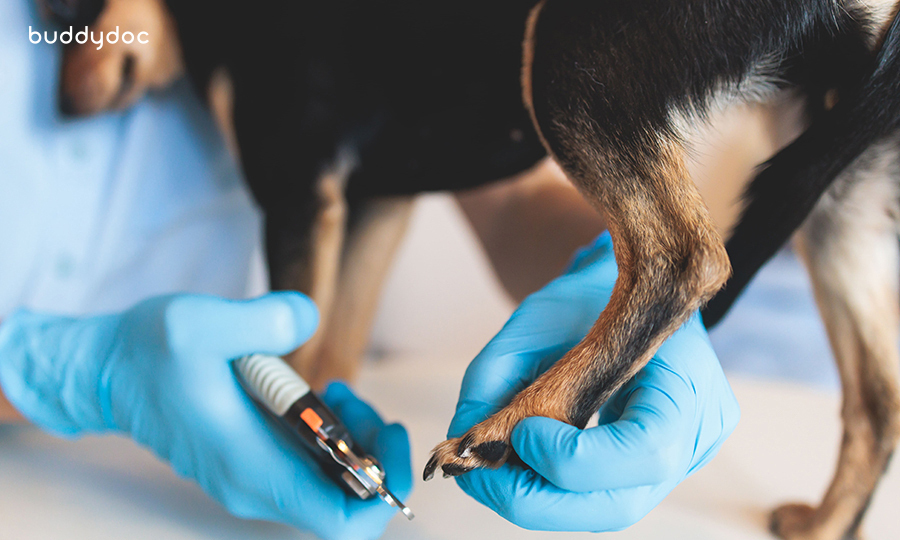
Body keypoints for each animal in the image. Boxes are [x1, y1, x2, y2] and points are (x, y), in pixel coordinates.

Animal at [45, 1, 900, 540]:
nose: (62, 112)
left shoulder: (297, 188)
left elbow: (298, 341)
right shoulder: (378, 202)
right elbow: (335, 341)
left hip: (569, 57)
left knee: (684, 257)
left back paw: (510, 428)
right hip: (839, 186)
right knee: (878, 399)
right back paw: (825, 526)